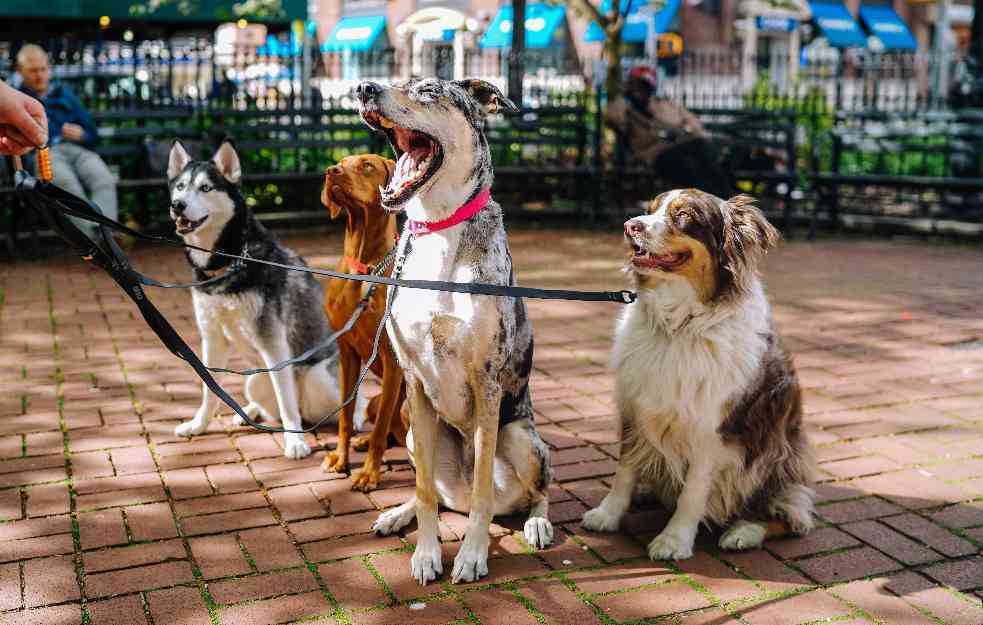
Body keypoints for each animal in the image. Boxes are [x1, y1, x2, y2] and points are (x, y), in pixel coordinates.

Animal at [167, 140, 364, 458]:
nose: (177, 205)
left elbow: (285, 400)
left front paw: (295, 442)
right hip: (255, 380)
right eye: (181, 186)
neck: (229, 262)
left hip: (318, 378)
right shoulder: (212, 338)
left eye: (206, 188)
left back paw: (353, 417)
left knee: (347, 400)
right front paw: (198, 425)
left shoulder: (274, 343)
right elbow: (209, 389)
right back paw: (249, 412)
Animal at [318, 154, 406, 490]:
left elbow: (381, 429)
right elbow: (345, 415)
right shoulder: (347, 353)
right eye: (340, 162)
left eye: (366, 165)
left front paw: (369, 473)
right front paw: (340, 459)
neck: (364, 268)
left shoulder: (393, 361)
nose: (331, 171)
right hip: (373, 401)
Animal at [584, 188, 816, 560]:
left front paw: (674, 539)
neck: (679, 326)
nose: (630, 226)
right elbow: (625, 469)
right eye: (650, 209)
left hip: (776, 452)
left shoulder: (713, 431)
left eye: (683, 216)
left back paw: (744, 532)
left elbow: (693, 493)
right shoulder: (635, 407)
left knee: (792, 515)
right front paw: (608, 513)